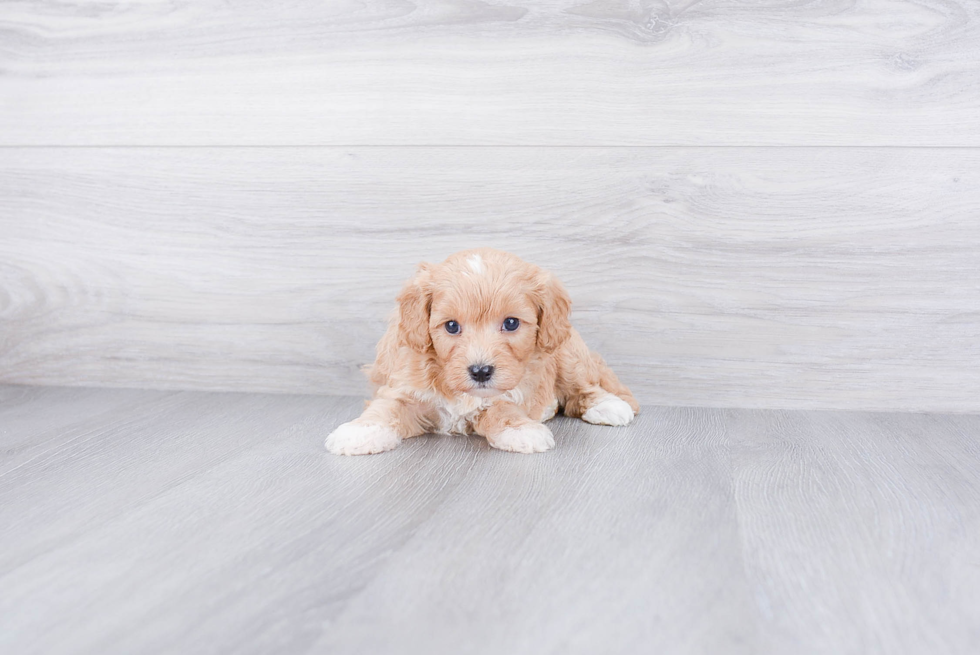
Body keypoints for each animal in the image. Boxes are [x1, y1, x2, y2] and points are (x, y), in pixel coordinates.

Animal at [326, 247, 640, 456]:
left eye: (511, 323)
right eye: (451, 326)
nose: (480, 372)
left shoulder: (506, 392)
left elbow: (502, 409)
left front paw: (520, 430)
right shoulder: (403, 386)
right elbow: (386, 407)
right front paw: (360, 431)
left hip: (567, 353)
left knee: (584, 387)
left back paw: (607, 405)